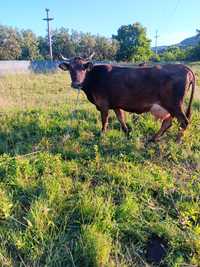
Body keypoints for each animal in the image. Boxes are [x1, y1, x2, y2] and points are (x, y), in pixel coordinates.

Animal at [58, 55, 195, 142]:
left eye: (83, 68)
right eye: (70, 68)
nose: (76, 84)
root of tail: (183, 67)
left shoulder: (103, 105)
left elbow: (104, 121)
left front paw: (102, 135)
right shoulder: (115, 104)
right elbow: (121, 118)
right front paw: (127, 132)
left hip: (175, 105)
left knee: (184, 121)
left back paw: (177, 141)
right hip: (170, 106)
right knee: (168, 122)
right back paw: (154, 138)